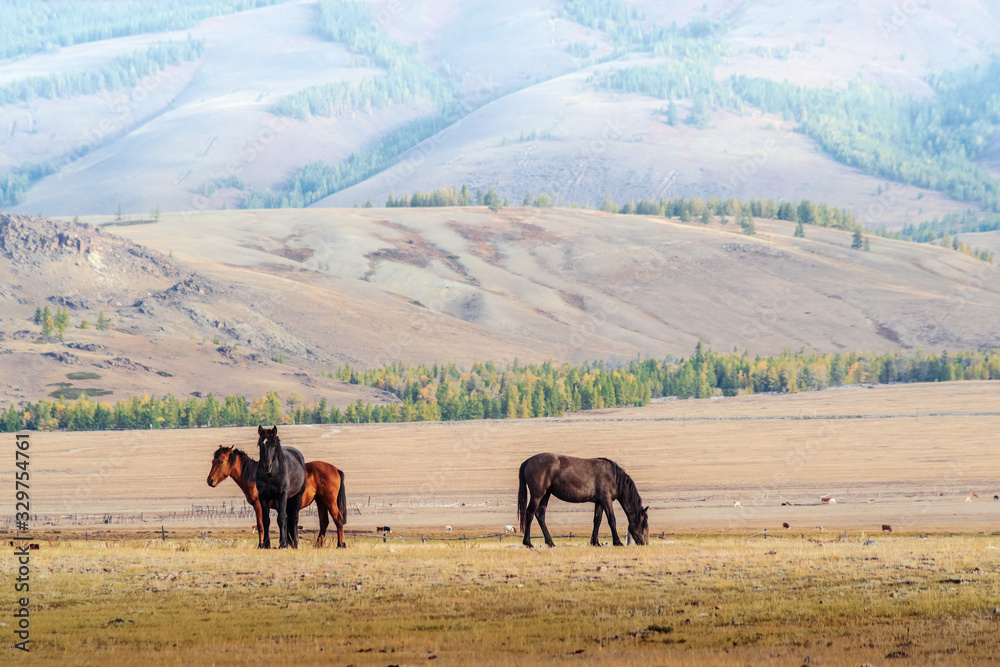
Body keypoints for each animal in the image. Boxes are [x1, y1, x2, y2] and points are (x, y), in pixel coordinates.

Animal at [206, 446, 348, 548]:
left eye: (221, 461)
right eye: (213, 461)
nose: (210, 481)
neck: (255, 476)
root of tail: (335, 469)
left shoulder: (259, 505)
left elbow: (261, 525)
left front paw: (262, 545)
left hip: (329, 501)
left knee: (338, 519)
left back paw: (340, 544)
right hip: (321, 501)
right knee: (324, 522)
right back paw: (319, 545)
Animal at [517, 452, 649, 548]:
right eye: (644, 524)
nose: (645, 544)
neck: (614, 477)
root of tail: (528, 461)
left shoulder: (599, 502)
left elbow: (597, 521)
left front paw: (595, 542)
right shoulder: (606, 500)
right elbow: (612, 520)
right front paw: (617, 542)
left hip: (546, 494)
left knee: (540, 515)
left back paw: (550, 542)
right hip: (537, 495)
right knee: (530, 514)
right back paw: (528, 543)